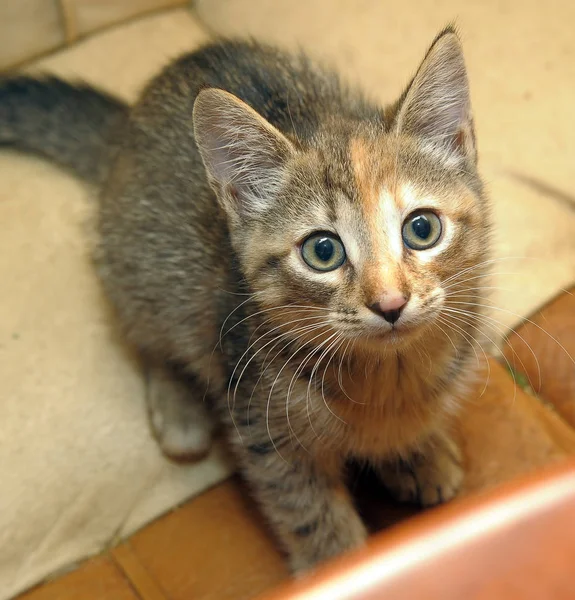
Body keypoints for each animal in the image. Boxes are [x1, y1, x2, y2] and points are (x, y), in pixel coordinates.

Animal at [0, 28, 490, 572]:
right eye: (323, 251)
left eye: (422, 229)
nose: (389, 302)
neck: (389, 376)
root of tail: (123, 132)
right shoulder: (262, 427)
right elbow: (310, 512)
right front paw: (338, 566)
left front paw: (418, 452)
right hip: (144, 272)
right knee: (149, 335)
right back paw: (179, 409)